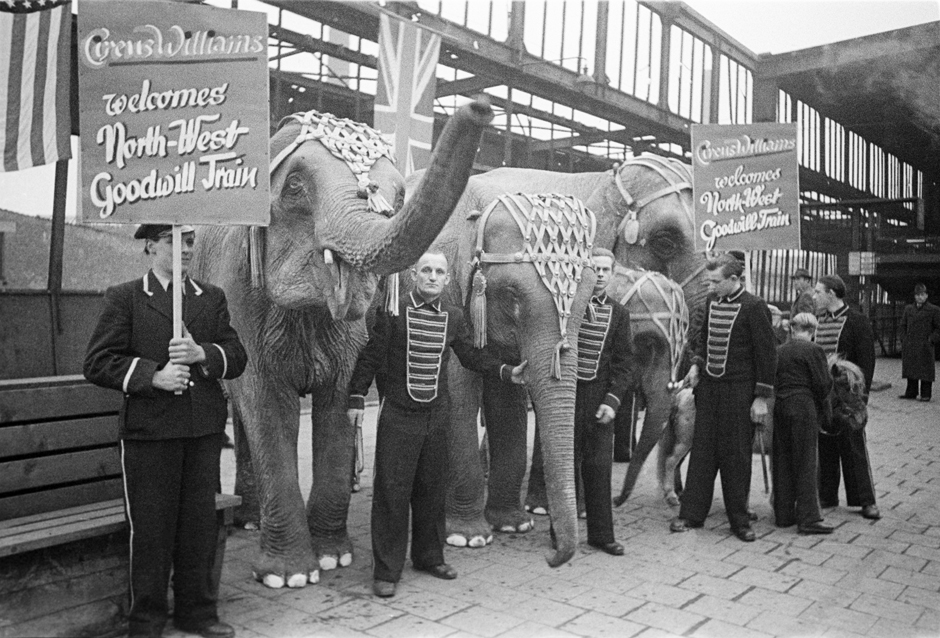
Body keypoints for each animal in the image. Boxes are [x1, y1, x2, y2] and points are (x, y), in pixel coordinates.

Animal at [192, 99, 496, 592]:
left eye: (399, 197)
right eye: (294, 186)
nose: (480, 108)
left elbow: (340, 400)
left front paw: (334, 558)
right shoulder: (238, 289)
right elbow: (266, 402)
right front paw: (290, 577)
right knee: (241, 410)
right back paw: (249, 520)